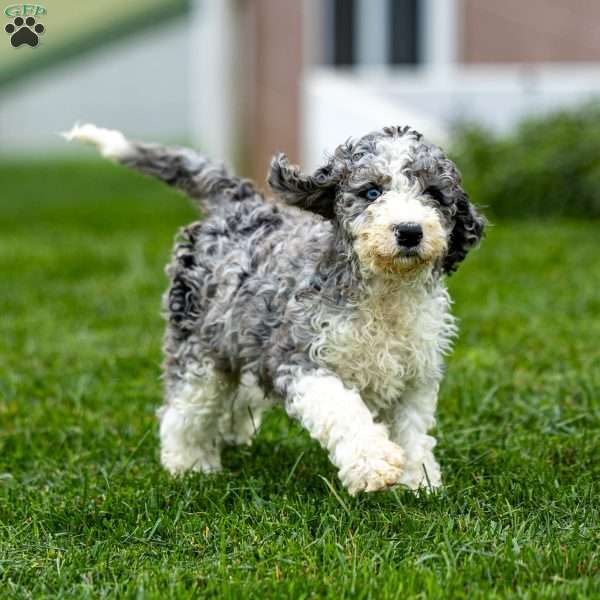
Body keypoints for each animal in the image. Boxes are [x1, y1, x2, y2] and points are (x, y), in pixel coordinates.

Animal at [65, 124, 486, 494]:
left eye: (434, 194)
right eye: (371, 191)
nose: (410, 231)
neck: (383, 294)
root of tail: (239, 203)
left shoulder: (415, 373)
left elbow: (413, 430)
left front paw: (420, 483)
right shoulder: (297, 357)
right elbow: (343, 409)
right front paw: (373, 464)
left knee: (237, 397)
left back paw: (230, 434)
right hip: (198, 348)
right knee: (184, 410)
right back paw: (189, 465)